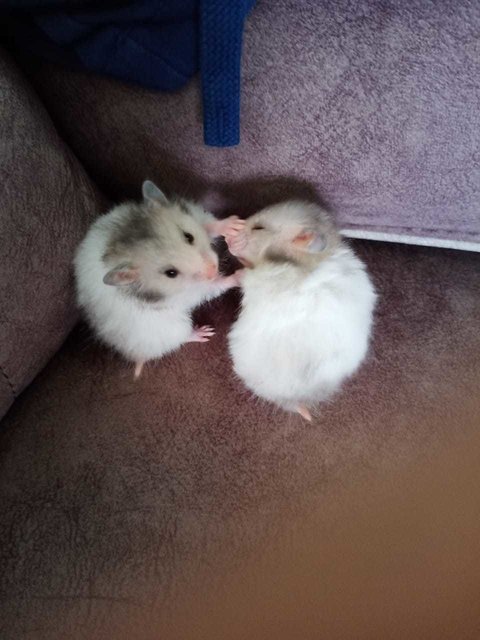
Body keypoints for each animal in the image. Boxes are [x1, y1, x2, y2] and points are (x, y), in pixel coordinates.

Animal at [74, 180, 244, 378]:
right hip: (172, 328)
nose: (213, 269)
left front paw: (234, 225)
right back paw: (204, 332)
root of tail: (139, 356)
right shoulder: (191, 293)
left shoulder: (194, 216)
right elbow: (215, 286)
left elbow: (207, 225)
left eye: (188, 236)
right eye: (170, 273)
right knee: (182, 337)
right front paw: (239, 276)